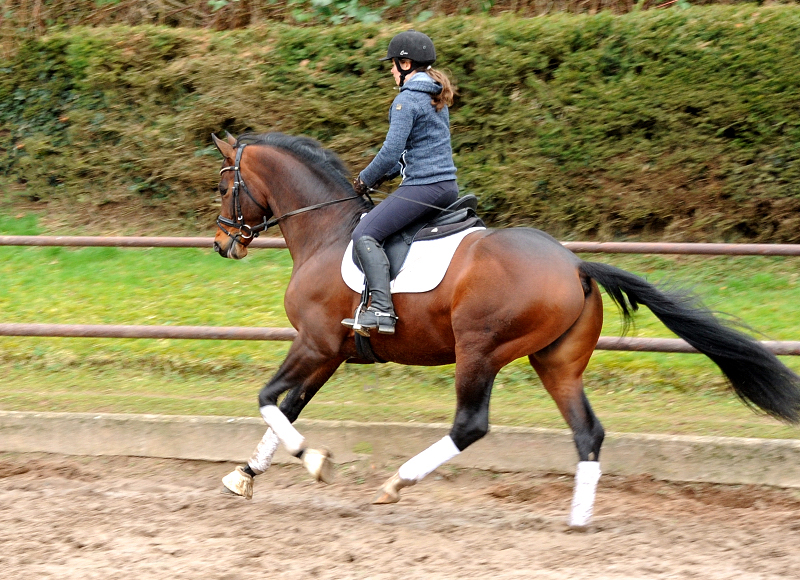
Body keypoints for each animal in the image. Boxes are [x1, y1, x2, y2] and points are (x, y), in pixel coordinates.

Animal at [211, 131, 800, 524]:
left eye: (224, 187)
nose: (221, 243)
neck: (326, 231)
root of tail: (576, 265)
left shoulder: (315, 343)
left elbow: (268, 399)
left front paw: (314, 462)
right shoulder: (331, 351)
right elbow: (287, 408)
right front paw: (245, 475)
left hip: (480, 351)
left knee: (470, 425)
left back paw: (397, 483)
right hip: (557, 364)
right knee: (588, 432)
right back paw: (578, 519)